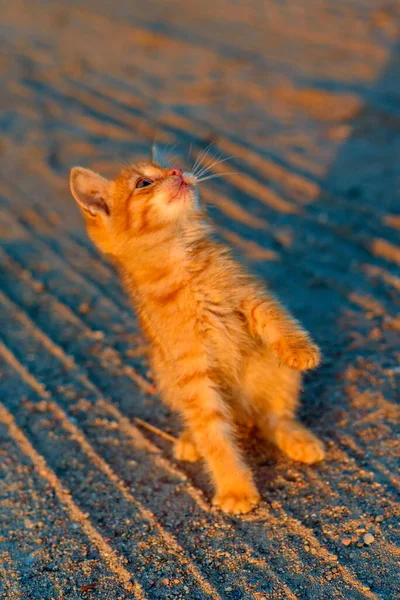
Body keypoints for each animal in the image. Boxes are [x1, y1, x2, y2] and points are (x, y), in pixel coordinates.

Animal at [69, 146, 324, 516]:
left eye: (167, 168)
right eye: (144, 182)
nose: (177, 170)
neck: (183, 266)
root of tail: (243, 414)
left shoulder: (250, 295)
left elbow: (275, 317)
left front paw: (298, 349)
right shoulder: (192, 374)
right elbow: (214, 434)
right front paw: (235, 487)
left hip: (275, 377)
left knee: (275, 418)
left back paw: (297, 437)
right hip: (166, 376)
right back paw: (191, 440)